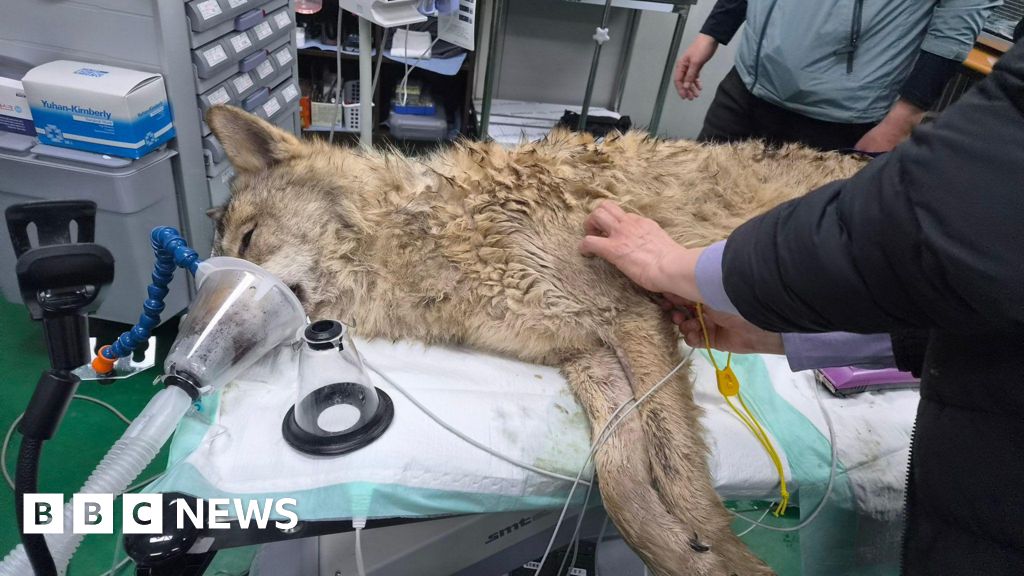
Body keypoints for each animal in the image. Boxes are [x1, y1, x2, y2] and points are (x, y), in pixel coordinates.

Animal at [205, 106, 865, 575]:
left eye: (249, 240)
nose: (199, 349)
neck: (427, 236)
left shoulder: (631, 315)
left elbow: (677, 468)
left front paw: (726, 556)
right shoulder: (586, 355)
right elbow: (622, 481)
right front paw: (683, 553)